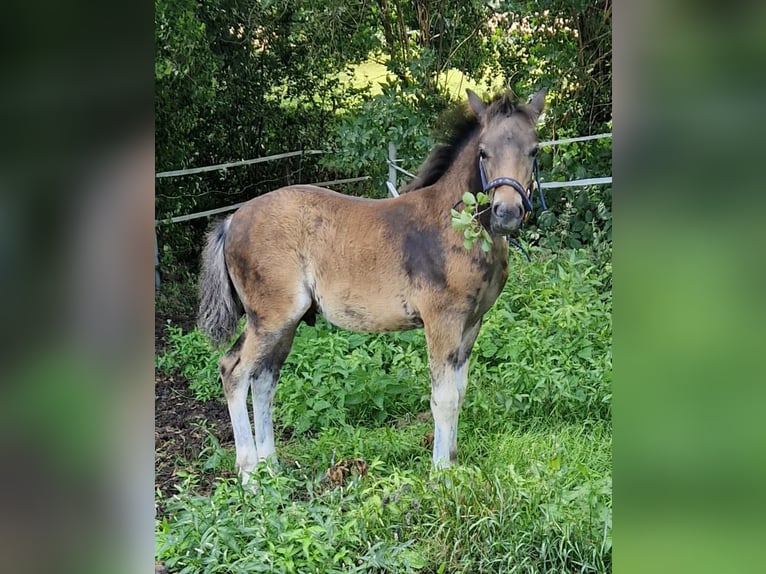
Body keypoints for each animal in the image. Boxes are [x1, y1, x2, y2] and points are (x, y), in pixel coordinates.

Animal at [198, 89, 544, 486]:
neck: (455, 223)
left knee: (263, 380)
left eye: (534, 150)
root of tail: (231, 220)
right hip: (271, 318)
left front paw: (454, 463)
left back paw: (272, 467)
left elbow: (459, 391)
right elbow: (443, 398)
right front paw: (440, 474)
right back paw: (251, 475)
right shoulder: (442, 320)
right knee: (235, 372)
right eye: (483, 152)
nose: (507, 212)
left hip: (284, 323)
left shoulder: (472, 322)